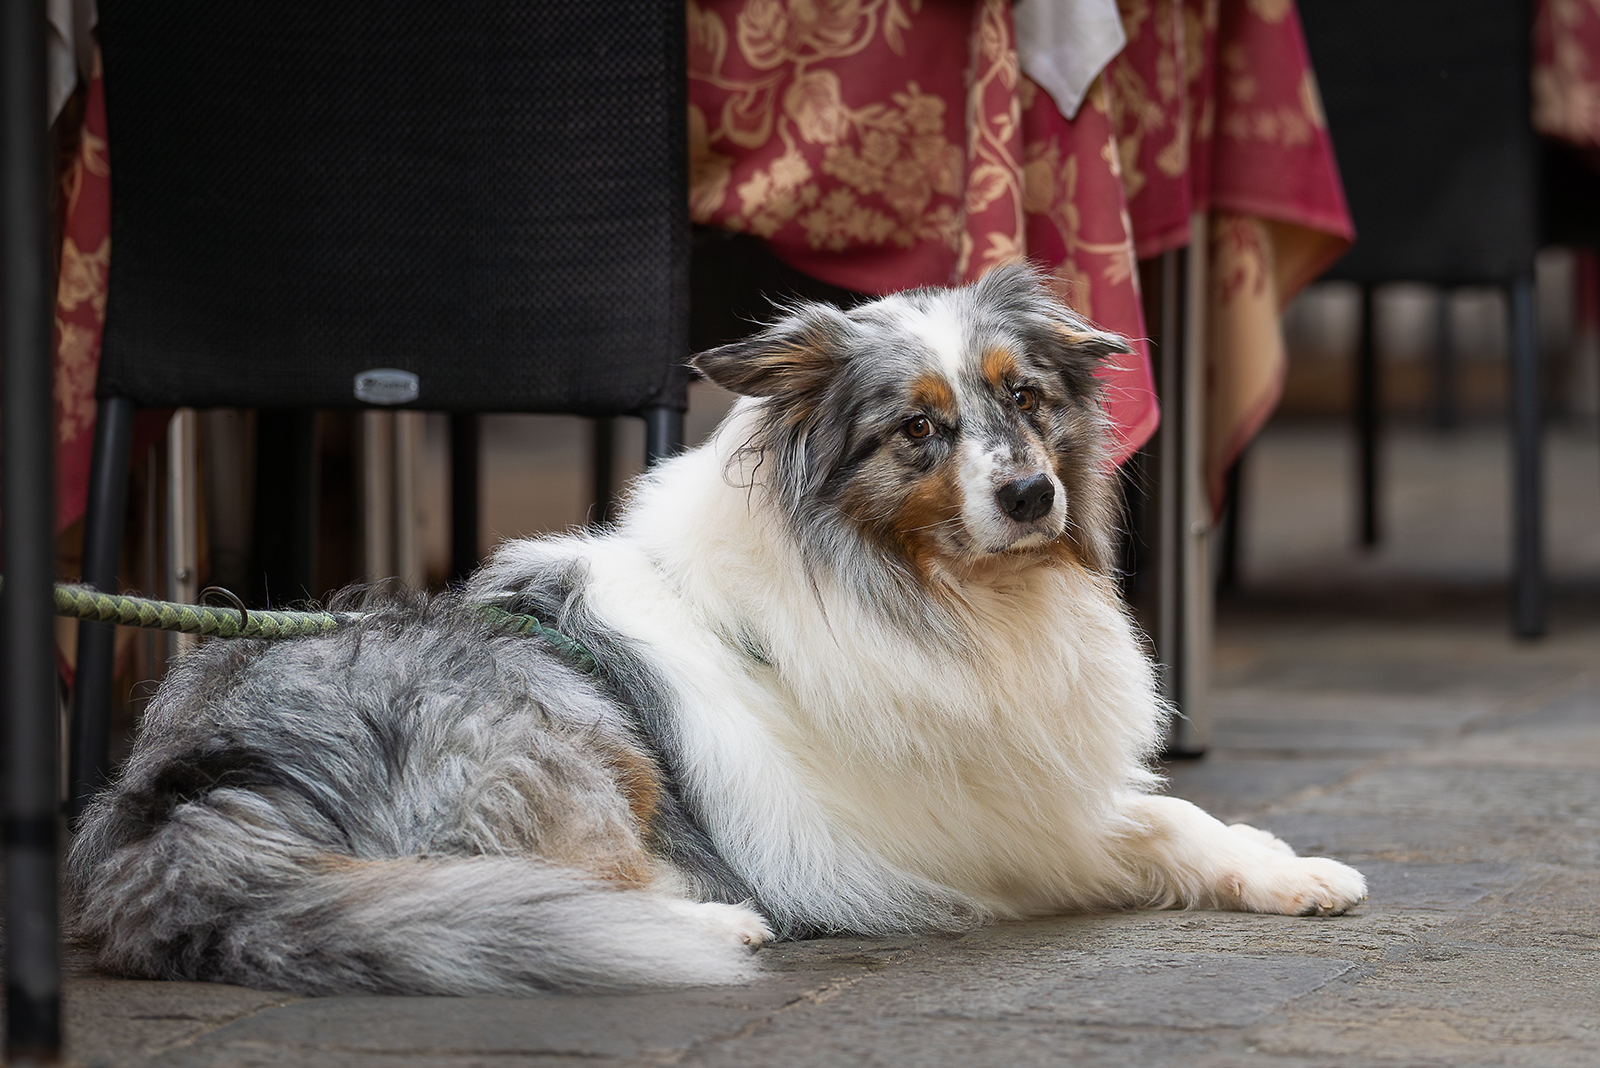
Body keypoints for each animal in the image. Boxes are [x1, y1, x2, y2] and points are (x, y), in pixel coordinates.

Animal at [65, 265, 1363, 991]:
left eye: (1027, 401)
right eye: (918, 430)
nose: (1033, 496)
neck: (934, 595)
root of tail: (185, 801)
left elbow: (1180, 812)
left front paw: (1296, 873)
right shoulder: (974, 830)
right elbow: (1145, 825)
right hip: (562, 733)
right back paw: (711, 924)